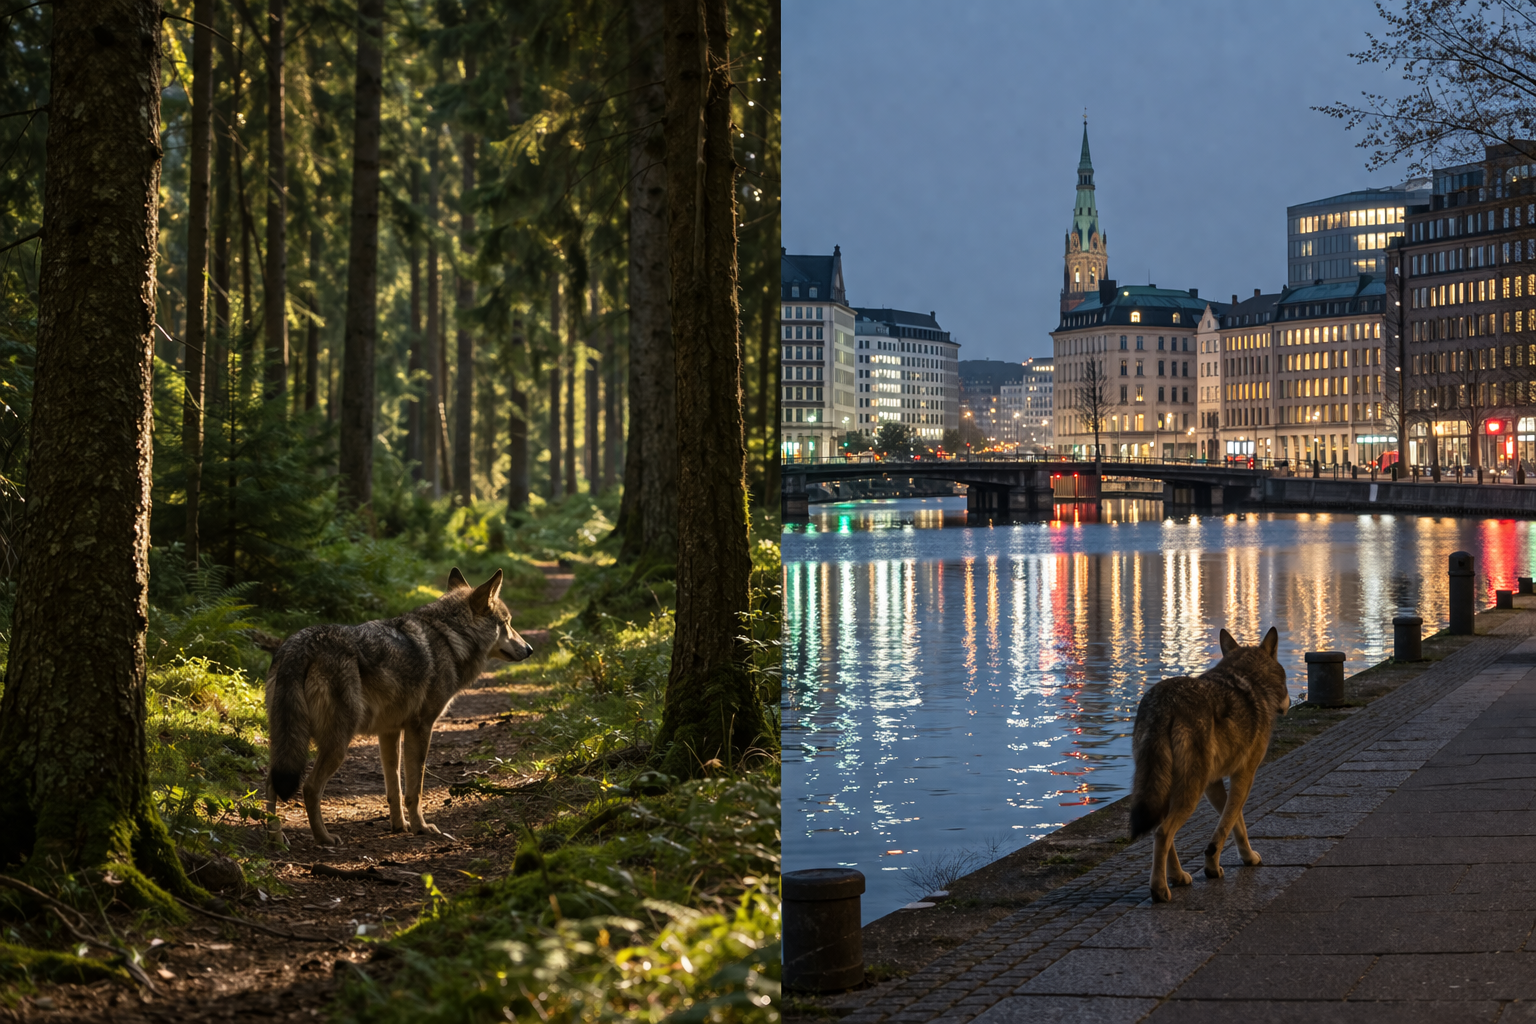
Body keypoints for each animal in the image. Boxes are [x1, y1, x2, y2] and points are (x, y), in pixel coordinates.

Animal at [264, 568, 534, 847]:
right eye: (507, 624)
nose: (530, 649)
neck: (451, 637)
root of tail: (300, 645)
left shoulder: (389, 732)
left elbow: (393, 787)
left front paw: (399, 826)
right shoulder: (421, 728)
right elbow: (415, 788)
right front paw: (421, 828)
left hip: (288, 741)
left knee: (271, 782)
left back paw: (276, 838)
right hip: (338, 745)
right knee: (309, 788)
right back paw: (324, 838)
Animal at [1128, 626, 1290, 902]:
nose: (1289, 703)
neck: (1249, 677)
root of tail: (1165, 704)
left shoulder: (1214, 784)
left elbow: (1235, 822)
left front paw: (1243, 858)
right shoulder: (1244, 775)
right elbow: (1228, 825)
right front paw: (1216, 867)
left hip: (1167, 787)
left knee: (1161, 832)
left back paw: (1177, 877)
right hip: (1189, 793)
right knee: (1163, 832)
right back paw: (1160, 889)